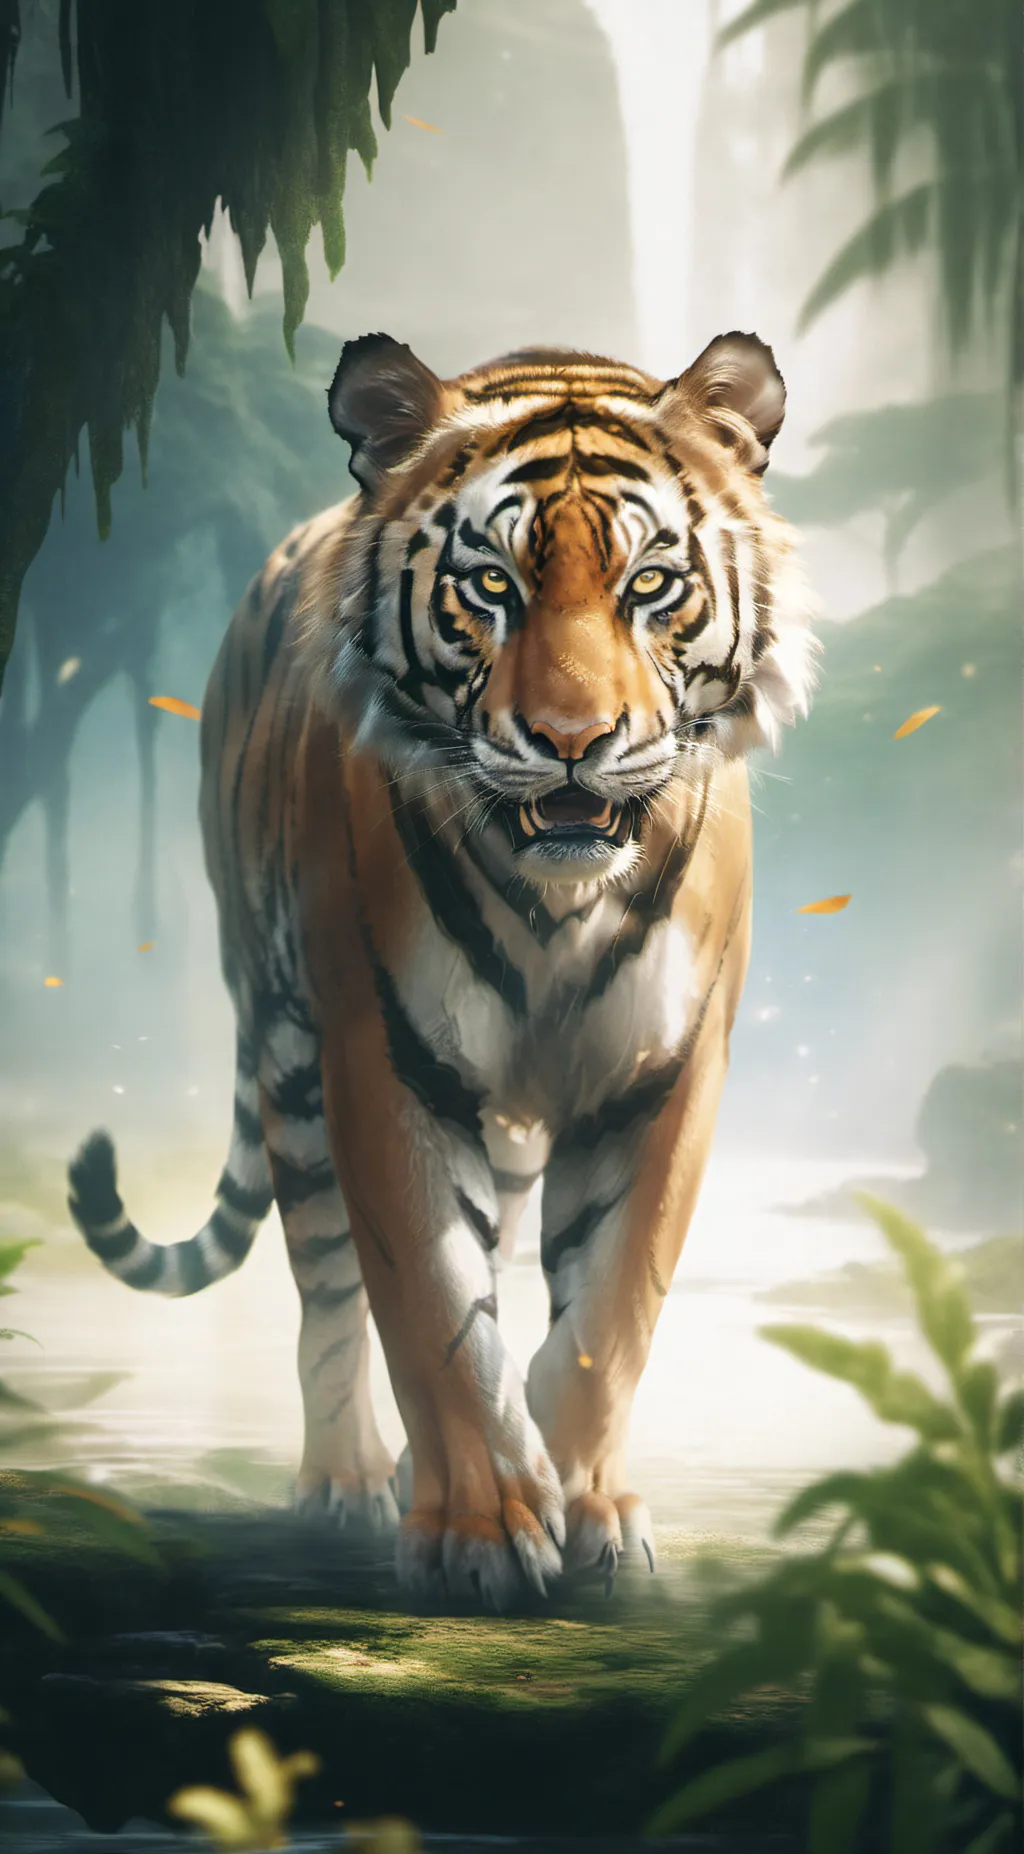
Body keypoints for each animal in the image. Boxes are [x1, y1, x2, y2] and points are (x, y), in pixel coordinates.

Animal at [68, 330, 817, 1611]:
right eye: (492, 587)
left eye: (649, 585)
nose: (572, 744)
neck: (559, 901)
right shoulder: (384, 1056)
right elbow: (428, 1305)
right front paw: (484, 1531)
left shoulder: (661, 1073)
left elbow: (604, 1313)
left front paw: (590, 1515)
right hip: (288, 1050)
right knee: (327, 1290)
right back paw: (347, 1479)